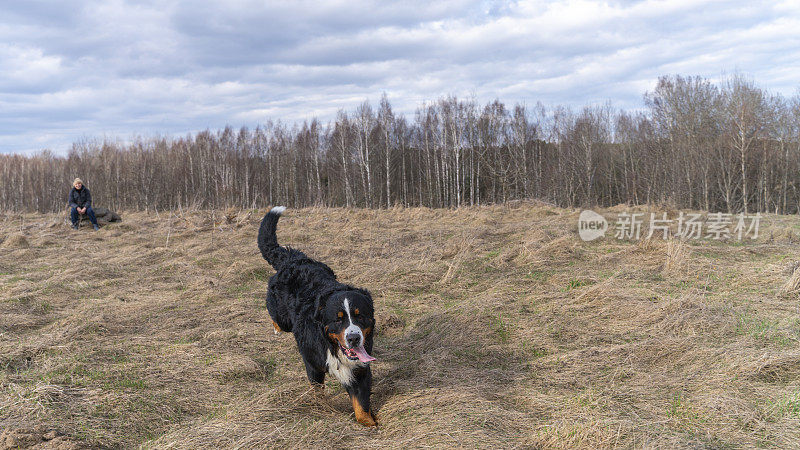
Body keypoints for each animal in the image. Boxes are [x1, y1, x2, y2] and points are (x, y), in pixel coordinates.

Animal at [258, 206, 380, 428]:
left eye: (360, 316)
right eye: (338, 319)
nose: (354, 338)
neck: (331, 346)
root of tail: (292, 258)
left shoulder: (360, 369)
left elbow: (361, 404)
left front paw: (370, 422)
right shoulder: (312, 364)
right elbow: (317, 391)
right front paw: (320, 407)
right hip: (282, 317)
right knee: (276, 318)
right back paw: (276, 328)